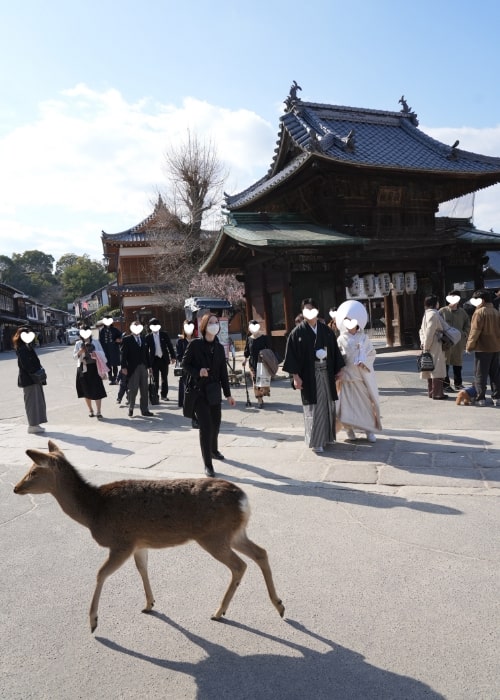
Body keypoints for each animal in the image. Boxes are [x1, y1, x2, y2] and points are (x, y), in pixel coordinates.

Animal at [12, 440, 286, 632]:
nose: (15, 488)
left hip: (214, 536)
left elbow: (100, 574)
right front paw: (149, 604)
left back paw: (219, 612)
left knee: (239, 565)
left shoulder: (121, 542)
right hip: (235, 533)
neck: (94, 511)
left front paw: (93, 621)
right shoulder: (139, 543)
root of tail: (244, 500)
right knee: (261, 553)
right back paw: (279, 605)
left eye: (34, 471)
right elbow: (142, 568)